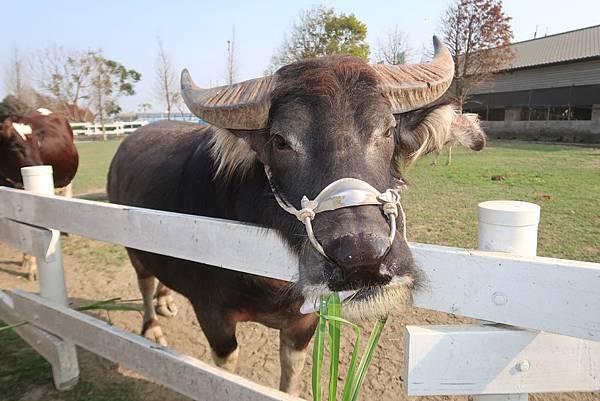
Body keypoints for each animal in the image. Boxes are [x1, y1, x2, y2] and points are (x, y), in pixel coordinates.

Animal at [0, 105, 78, 278]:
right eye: (14, 145)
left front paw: (33, 267)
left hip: (67, 179)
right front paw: (25, 260)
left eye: (38, 143)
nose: (40, 166)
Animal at [105, 37, 486, 394]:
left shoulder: (303, 322)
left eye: (388, 130)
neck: (265, 282)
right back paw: (153, 326)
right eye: (281, 141)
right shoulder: (213, 318)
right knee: (144, 281)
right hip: (133, 248)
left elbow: (291, 372)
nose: (362, 258)